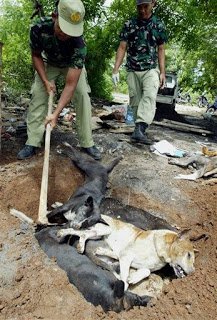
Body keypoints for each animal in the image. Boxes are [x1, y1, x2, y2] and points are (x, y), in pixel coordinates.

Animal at [57, 214, 195, 292]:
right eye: (189, 255)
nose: (193, 274)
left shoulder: (135, 262)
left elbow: (146, 271)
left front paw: (134, 278)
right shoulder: (126, 257)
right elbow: (124, 278)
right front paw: (123, 290)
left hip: (98, 234)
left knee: (82, 234)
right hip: (105, 229)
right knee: (79, 232)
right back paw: (65, 234)